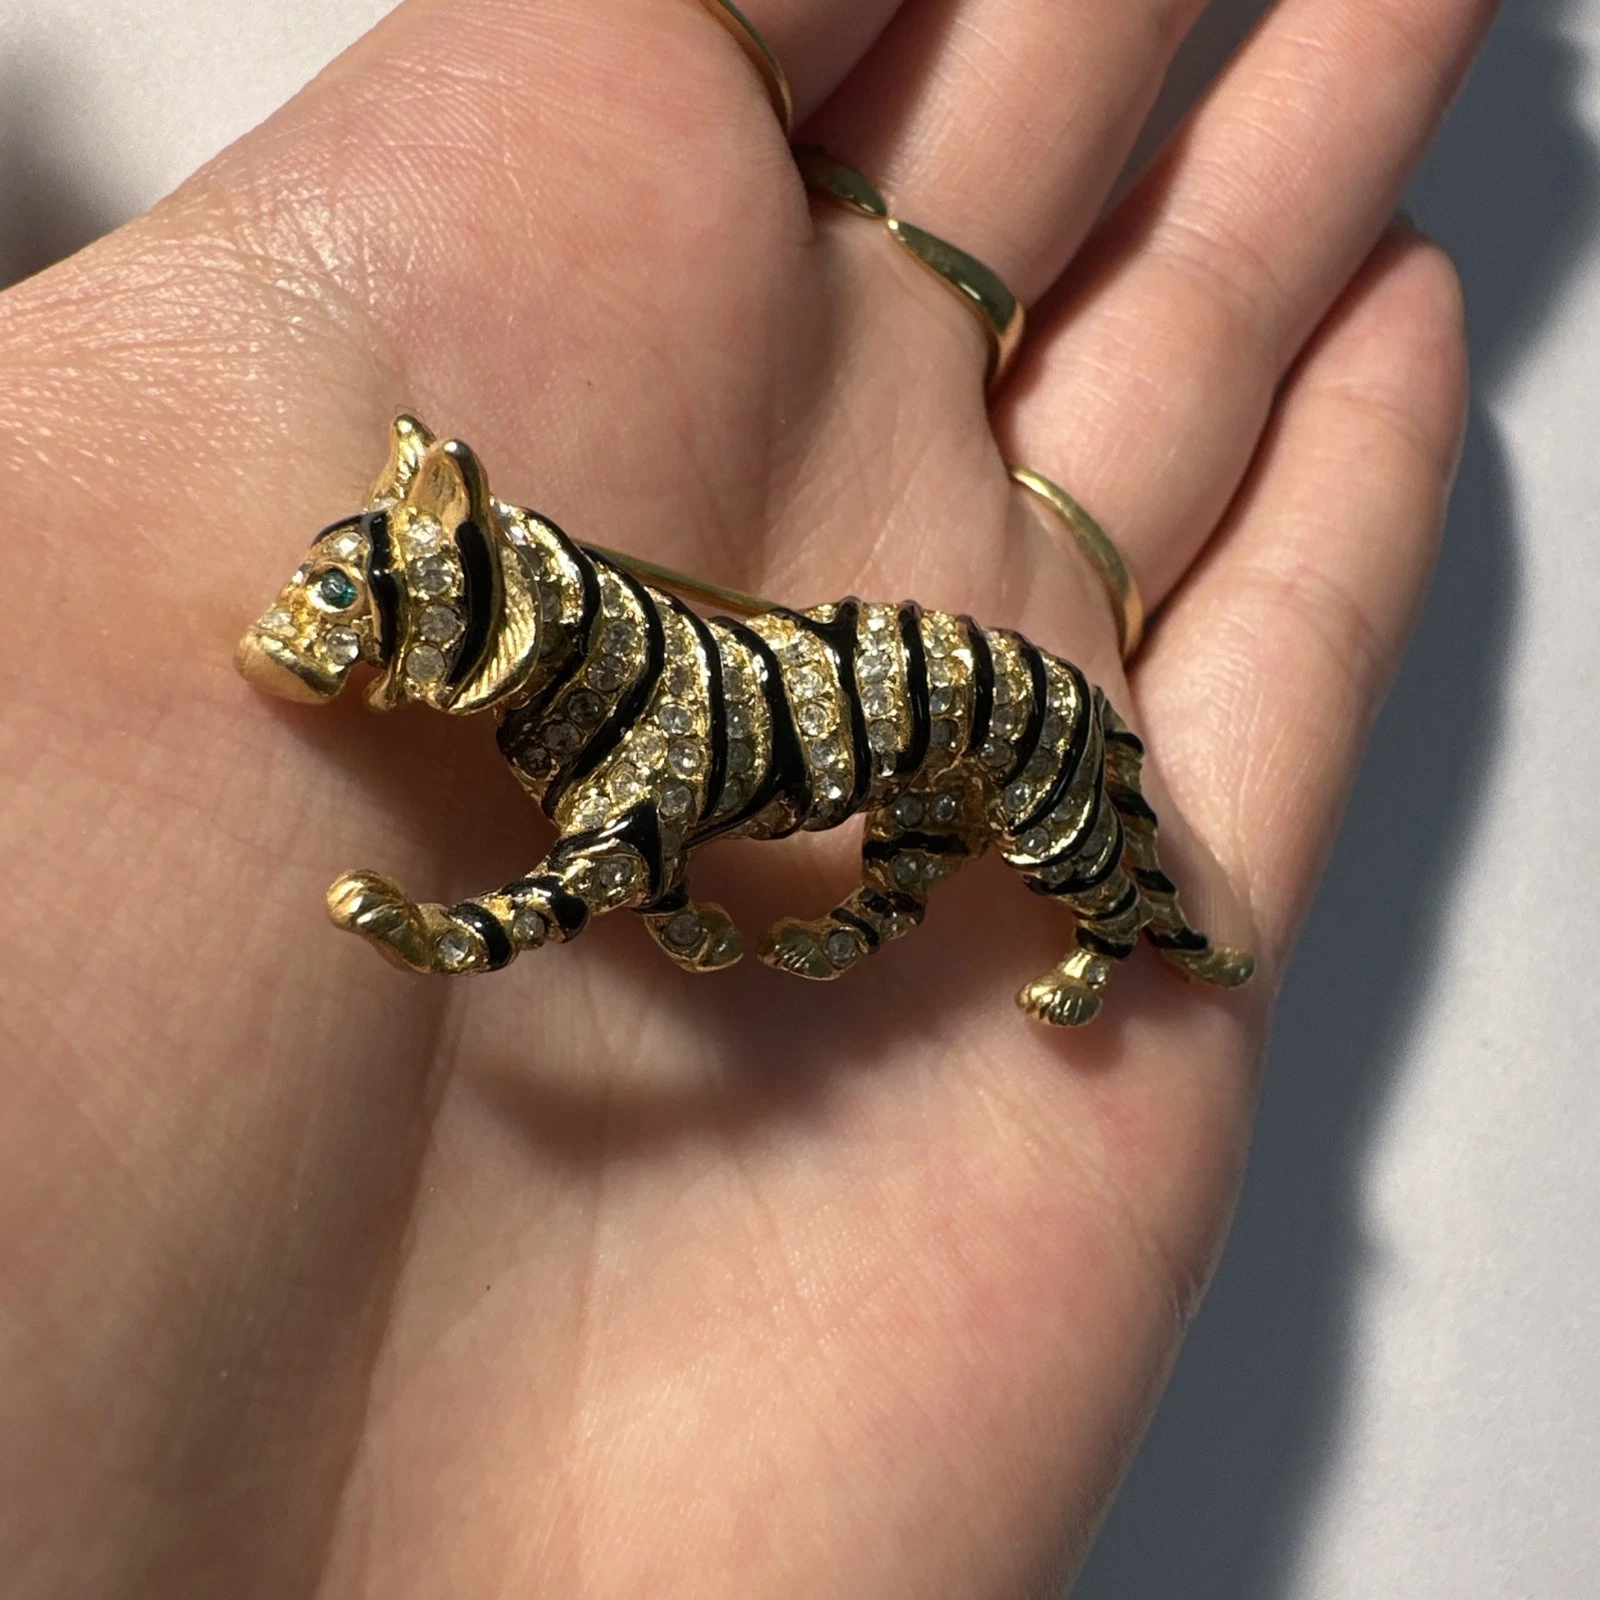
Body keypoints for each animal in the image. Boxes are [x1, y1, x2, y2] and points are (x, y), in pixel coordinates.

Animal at [236, 415, 1253, 1026]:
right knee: (899, 903)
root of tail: (1087, 682)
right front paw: (710, 944)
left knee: (1119, 902)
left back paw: (1070, 992)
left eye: (336, 587)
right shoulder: (646, 842)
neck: (576, 661)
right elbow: (666, 904)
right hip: (918, 815)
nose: (254, 656)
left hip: (1052, 828)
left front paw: (396, 921)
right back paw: (809, 949)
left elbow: (507, 919)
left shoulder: (613, 844)